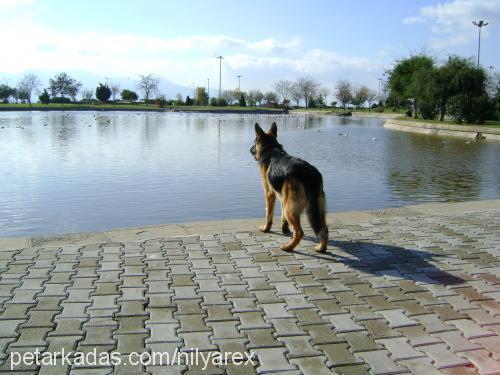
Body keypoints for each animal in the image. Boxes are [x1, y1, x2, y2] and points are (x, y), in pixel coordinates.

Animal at [250, 123, 328, 253]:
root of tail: (309, 174)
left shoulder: (269, 194)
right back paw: (321, 247)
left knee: (299, 232)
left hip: (290, 210)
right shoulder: (282, 198)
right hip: (316, 208)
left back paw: (288, 247)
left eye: (254, 142)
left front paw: (266, 228)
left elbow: (268, 215)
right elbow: (282, 217)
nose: (250, 150)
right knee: (324, 228)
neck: (270, 148)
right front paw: (284, 229)